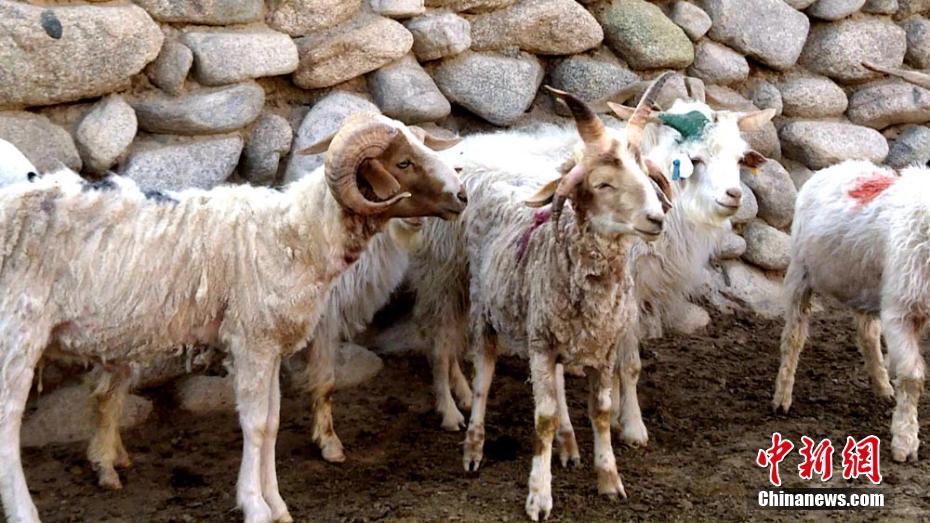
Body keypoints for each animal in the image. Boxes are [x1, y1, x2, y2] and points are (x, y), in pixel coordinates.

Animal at [0, 114, 464, 523]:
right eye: (403, 163)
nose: (461, 195)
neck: (298, 234)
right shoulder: (252, 342)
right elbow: (255, 425)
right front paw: (256, 506)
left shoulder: (270, 346)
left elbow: (272, 424)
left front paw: (277, 505)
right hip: (17, 334)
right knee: (7, 425)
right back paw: (25, 512)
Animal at [414, 79, 668, 523]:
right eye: (602, 184)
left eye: (645, 174)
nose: (656, 218)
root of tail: (497, 183)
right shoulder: (540, 345)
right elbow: (543, 418)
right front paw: (539, 495)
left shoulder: (601, 348)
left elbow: (601, 411)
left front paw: (609, 479)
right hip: (484, 315)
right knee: (482, 381)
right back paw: (474, 447)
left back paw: (568, 445)